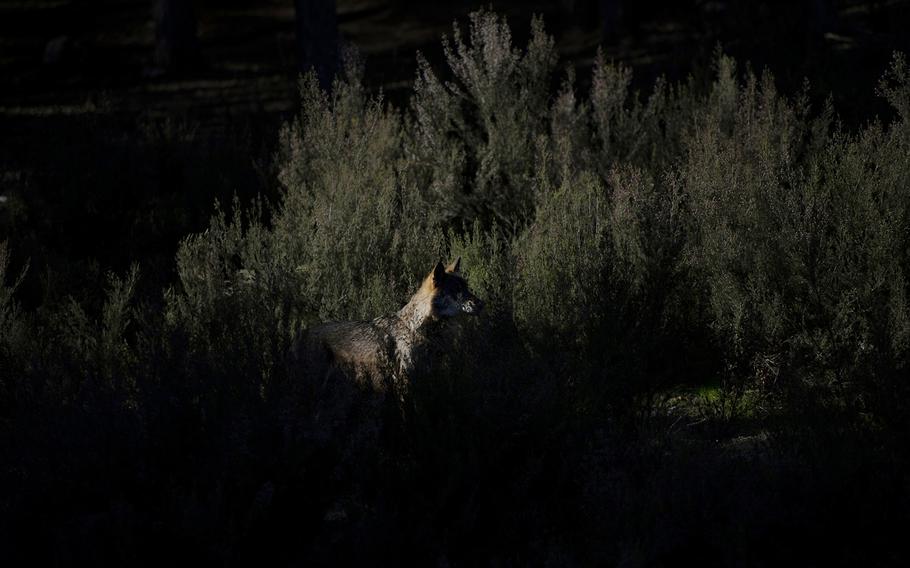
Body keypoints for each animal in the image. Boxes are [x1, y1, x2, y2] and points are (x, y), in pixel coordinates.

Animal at [296, 258, 488, 394]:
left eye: (467, 288)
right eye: (457, 291)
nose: (482, 304)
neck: (417, 329)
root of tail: (300, 334)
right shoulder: (404, 383)